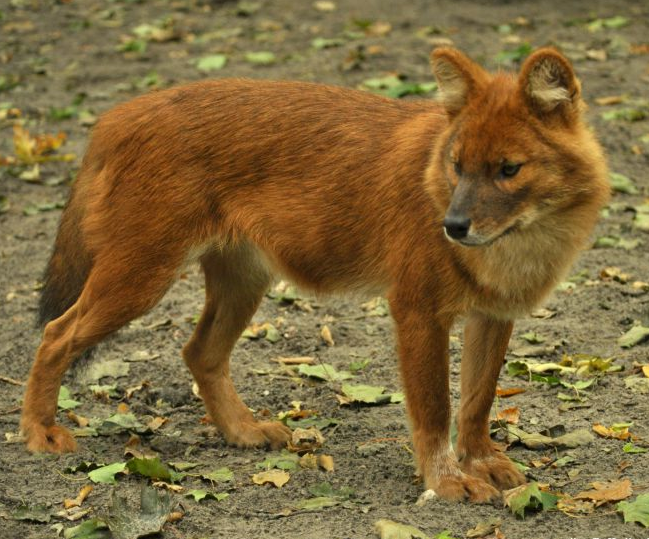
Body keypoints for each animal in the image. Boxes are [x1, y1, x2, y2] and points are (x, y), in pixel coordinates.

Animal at [20, 48, 608, 504]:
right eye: (457, 165)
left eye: (508, 169)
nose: (453, 226)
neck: (520, 244)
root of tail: (117, 115)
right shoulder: (417, 311)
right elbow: (435, 408)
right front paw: (446, 481)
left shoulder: (493, 313)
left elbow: (478, 401)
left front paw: (482, 460)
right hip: (140, 276)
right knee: (55, 334)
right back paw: (40, 432)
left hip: (243, 282)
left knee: (200, 351)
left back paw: (243, 431)